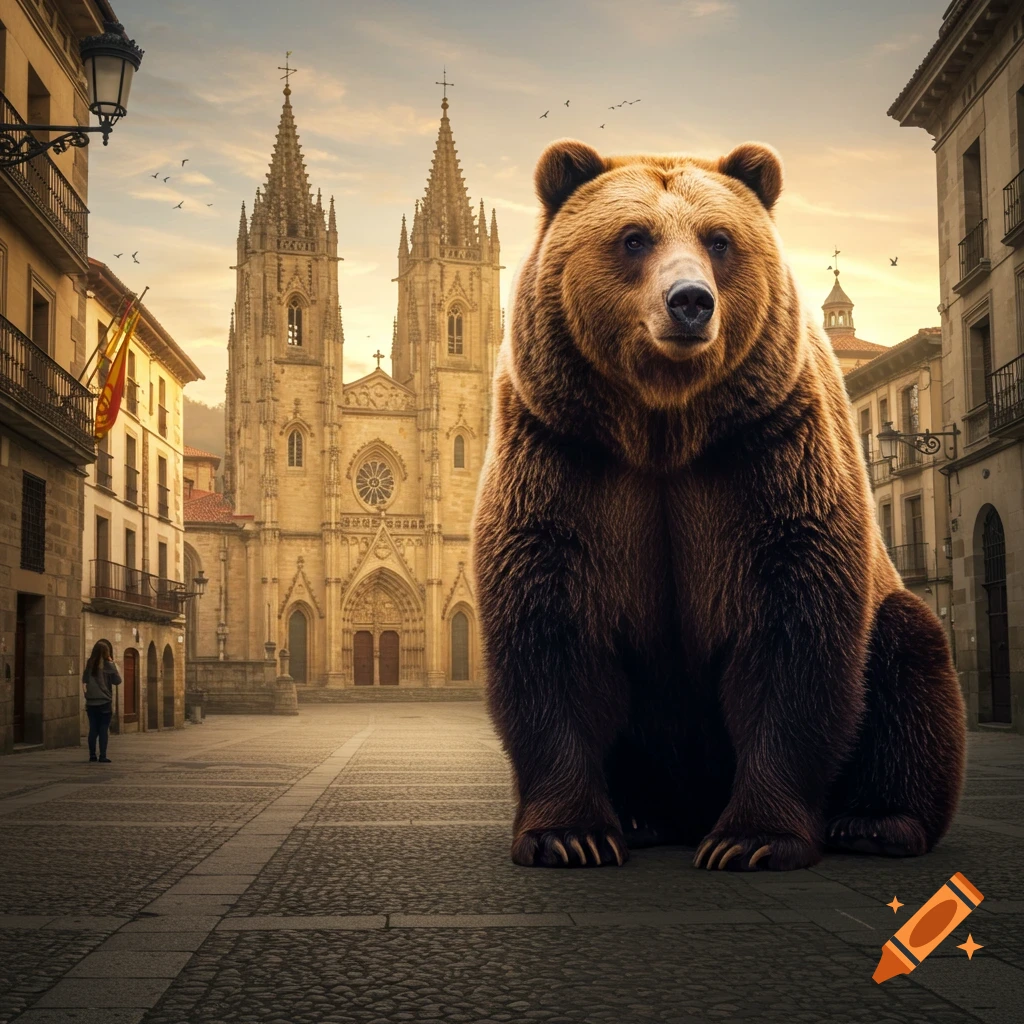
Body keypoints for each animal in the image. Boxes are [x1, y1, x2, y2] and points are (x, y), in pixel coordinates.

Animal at [470, 138, 966, 872]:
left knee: (912, 660)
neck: (663, 427)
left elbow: (793, 634)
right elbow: (549, 632)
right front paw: (570, 834)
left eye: (719, 239)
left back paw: (876, 821)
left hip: (891, 619)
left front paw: (753, 838)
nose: (690, 302)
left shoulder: (769, 456)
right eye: (634, 237)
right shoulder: (562, 457)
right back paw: (641, 818)